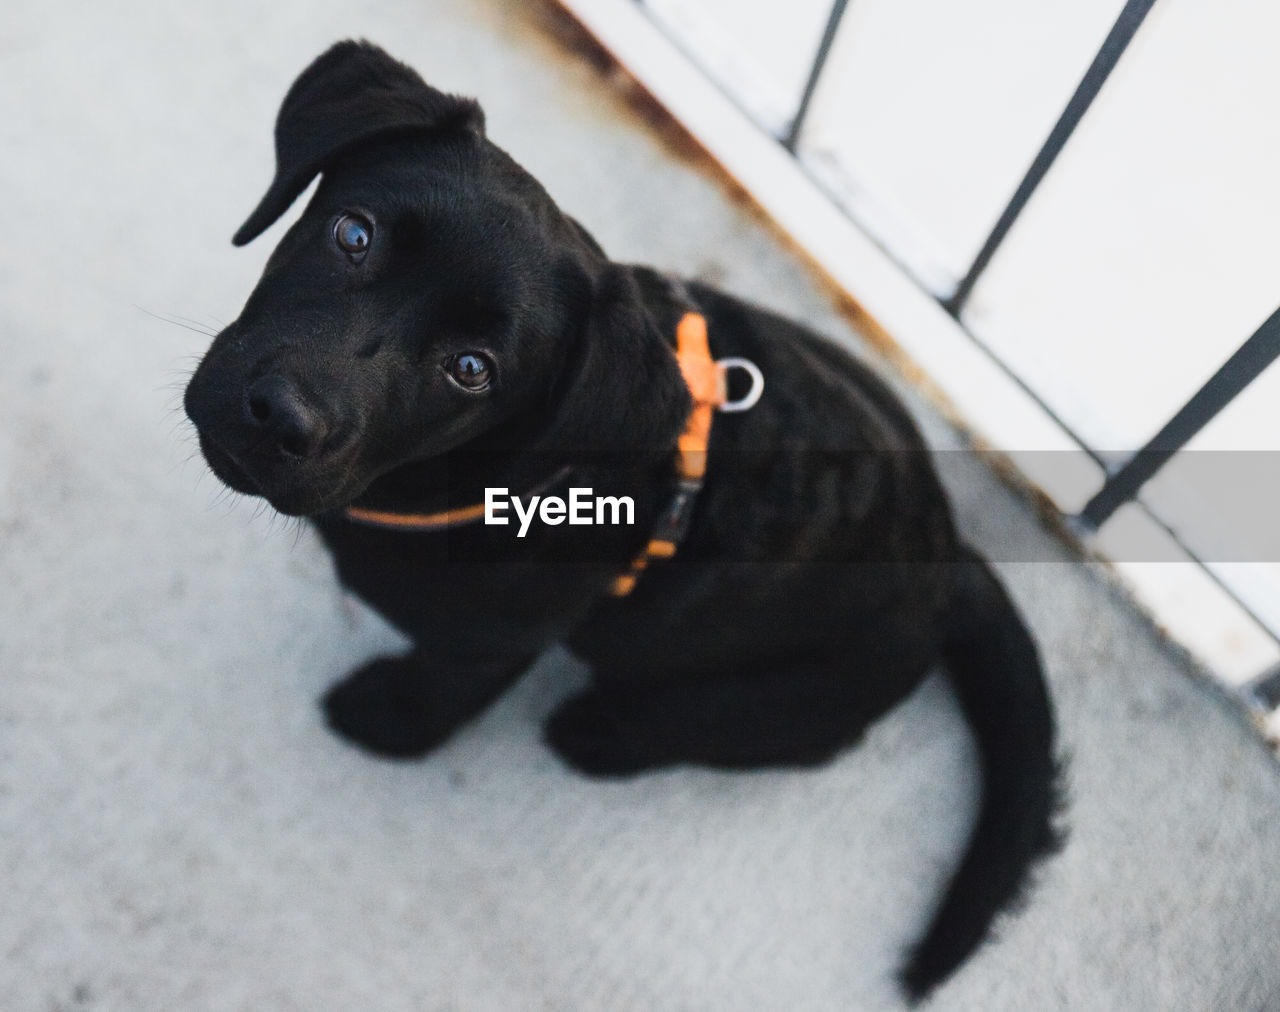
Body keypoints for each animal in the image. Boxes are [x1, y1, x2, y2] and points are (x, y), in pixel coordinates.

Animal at [180, 41, 1059, 1003]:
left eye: (472, 369)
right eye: (353, 234)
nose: (280, 416)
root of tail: (951, 554)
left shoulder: (488, 642)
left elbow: (440, 689)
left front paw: (386, 721)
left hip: (769, 699)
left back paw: (600, 731)